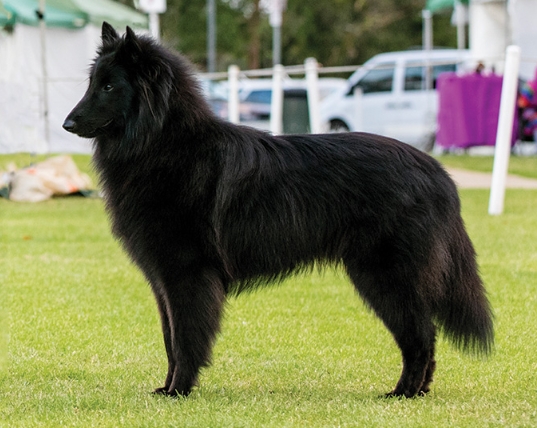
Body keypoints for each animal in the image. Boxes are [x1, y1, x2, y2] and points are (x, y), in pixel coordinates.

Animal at [63, 22, 494, 398]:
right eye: (91, 83)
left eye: (108, 86)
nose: (67, 123)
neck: (166, 144)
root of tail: (437, 171)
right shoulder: (163, 282)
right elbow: (170, 340)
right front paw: (167, 387)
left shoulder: (188, 275)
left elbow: (185, 340)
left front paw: (179, 391)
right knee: (425, 336)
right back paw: (417, 392)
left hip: (386, 277)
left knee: (420, 336)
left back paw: (402, 393)